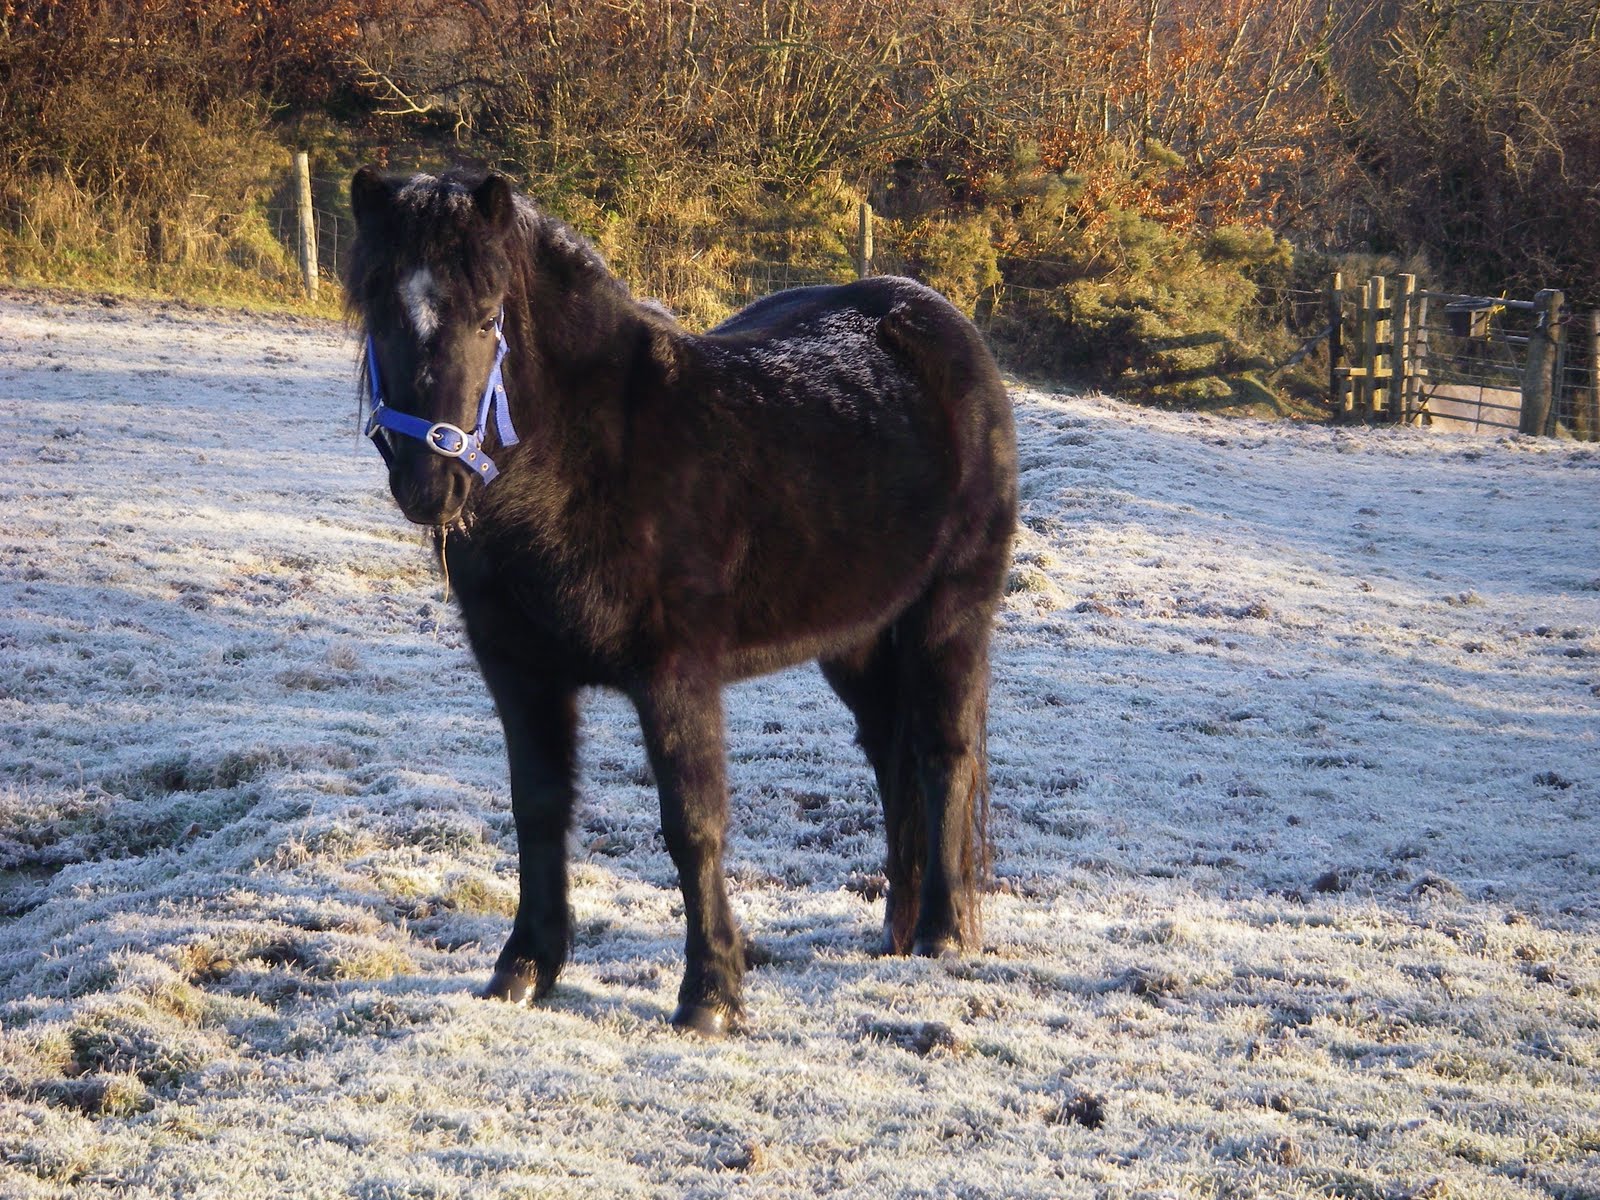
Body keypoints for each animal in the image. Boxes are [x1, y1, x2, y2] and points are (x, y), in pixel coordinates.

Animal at [344, 167, 1018, 1035]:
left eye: (489, 317)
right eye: (378, 311)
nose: (431, 486)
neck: (585, 464)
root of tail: (937, 321)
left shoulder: (676, 676)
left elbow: (693, 827)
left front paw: (711, 996)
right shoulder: (520, 676)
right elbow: (538, 809)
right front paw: (524, 969)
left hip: (950, 613)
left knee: (942, 753)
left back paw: (941, 931)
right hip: (857, 635)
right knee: (888, 752)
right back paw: (896, 930)